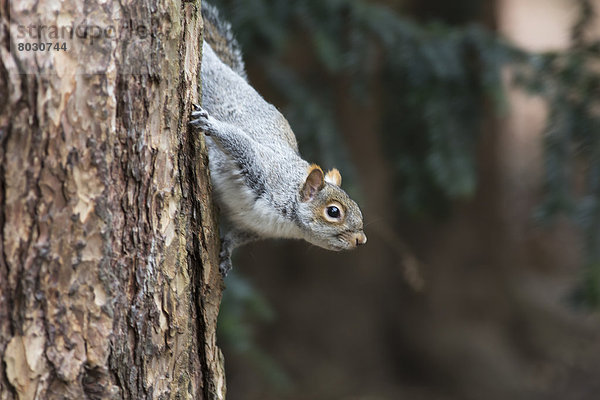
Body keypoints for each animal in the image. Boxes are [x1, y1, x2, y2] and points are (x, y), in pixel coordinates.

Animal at [190, 3, 366, 276]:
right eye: (333, 211)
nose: (361, 240)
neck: (286, 218)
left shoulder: (252, 227)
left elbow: (236, 238)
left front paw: (227, 253)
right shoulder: (264, 168)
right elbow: (240, 142)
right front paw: (210, 124)